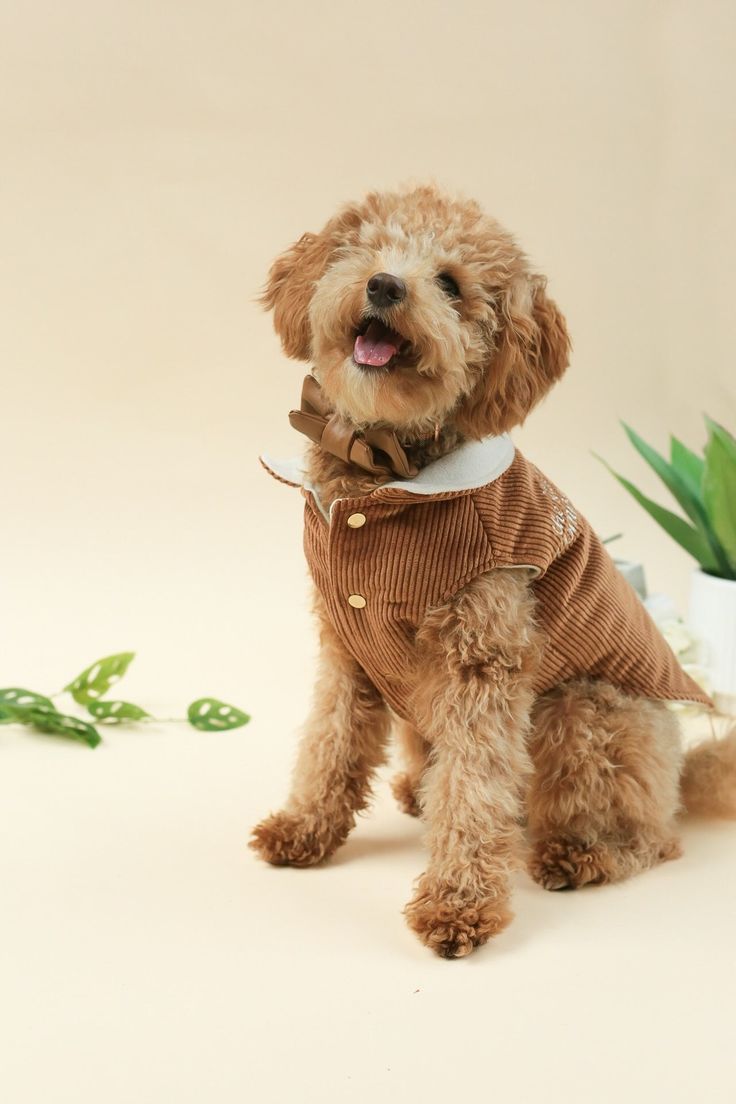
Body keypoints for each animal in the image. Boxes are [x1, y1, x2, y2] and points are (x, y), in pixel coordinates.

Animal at [249, 183, 736, 958]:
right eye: (366, 249)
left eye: (451, 284)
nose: (385, 286)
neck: (382, 473)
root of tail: (679, 772)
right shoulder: (346, 651)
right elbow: (329, 743)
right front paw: (304, 828)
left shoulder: (482, 664)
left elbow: (475, 792)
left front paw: (458, 903)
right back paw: (418, 791)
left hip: (583, 709)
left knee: (649, 838)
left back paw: (581, 854)